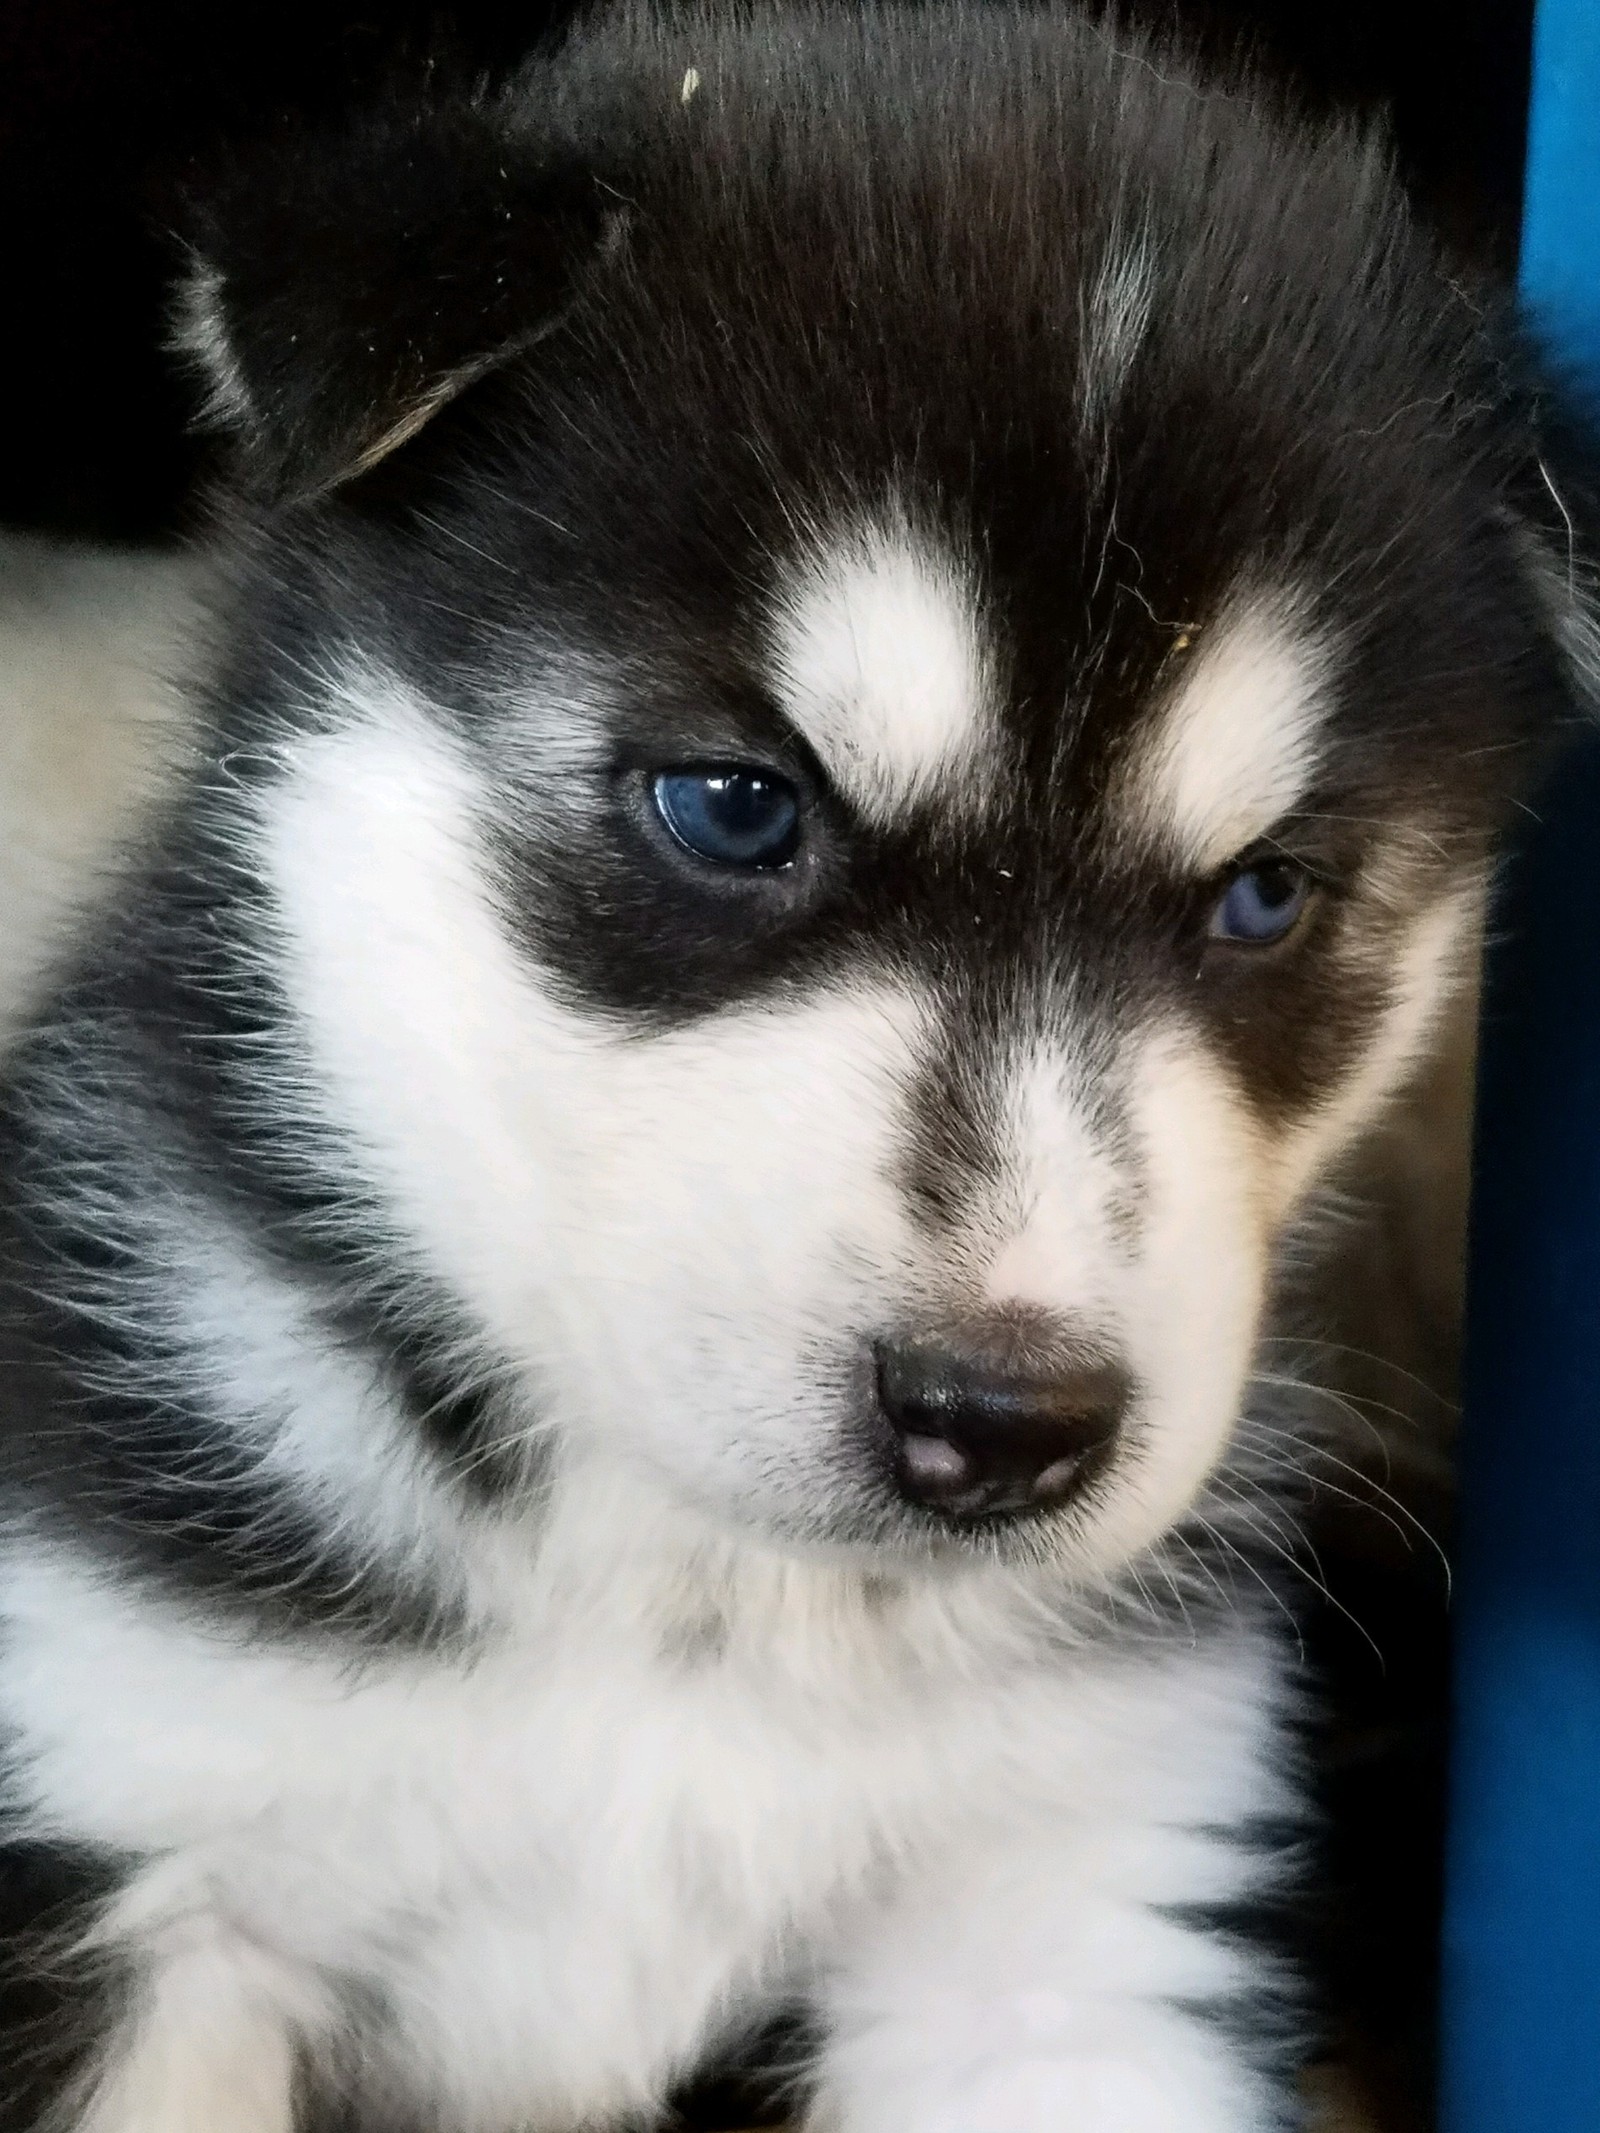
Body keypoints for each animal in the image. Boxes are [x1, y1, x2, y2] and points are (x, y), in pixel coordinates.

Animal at [0, 4, 1595, 2133]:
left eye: (1267, 894)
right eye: (736, 805)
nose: (1005, 1421)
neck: (694, 1606)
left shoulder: (1068, 1908)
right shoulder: (124, 1827)